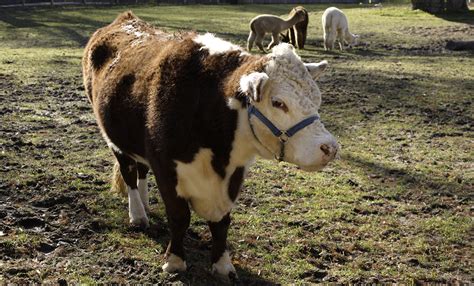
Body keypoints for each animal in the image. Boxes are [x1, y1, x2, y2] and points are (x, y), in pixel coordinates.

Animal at [82, 11, 340, 280]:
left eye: (316, 98)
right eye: (278, 102)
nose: (329, 148)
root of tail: (124, 18)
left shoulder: (233, 173)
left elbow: (222, 223)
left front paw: (223, 264)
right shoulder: (164, 165)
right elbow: (179, 216)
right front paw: (175, 260)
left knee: (141, 170)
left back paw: (144, 202)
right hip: (114, 139)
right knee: (130, 173)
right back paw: (138, 214)